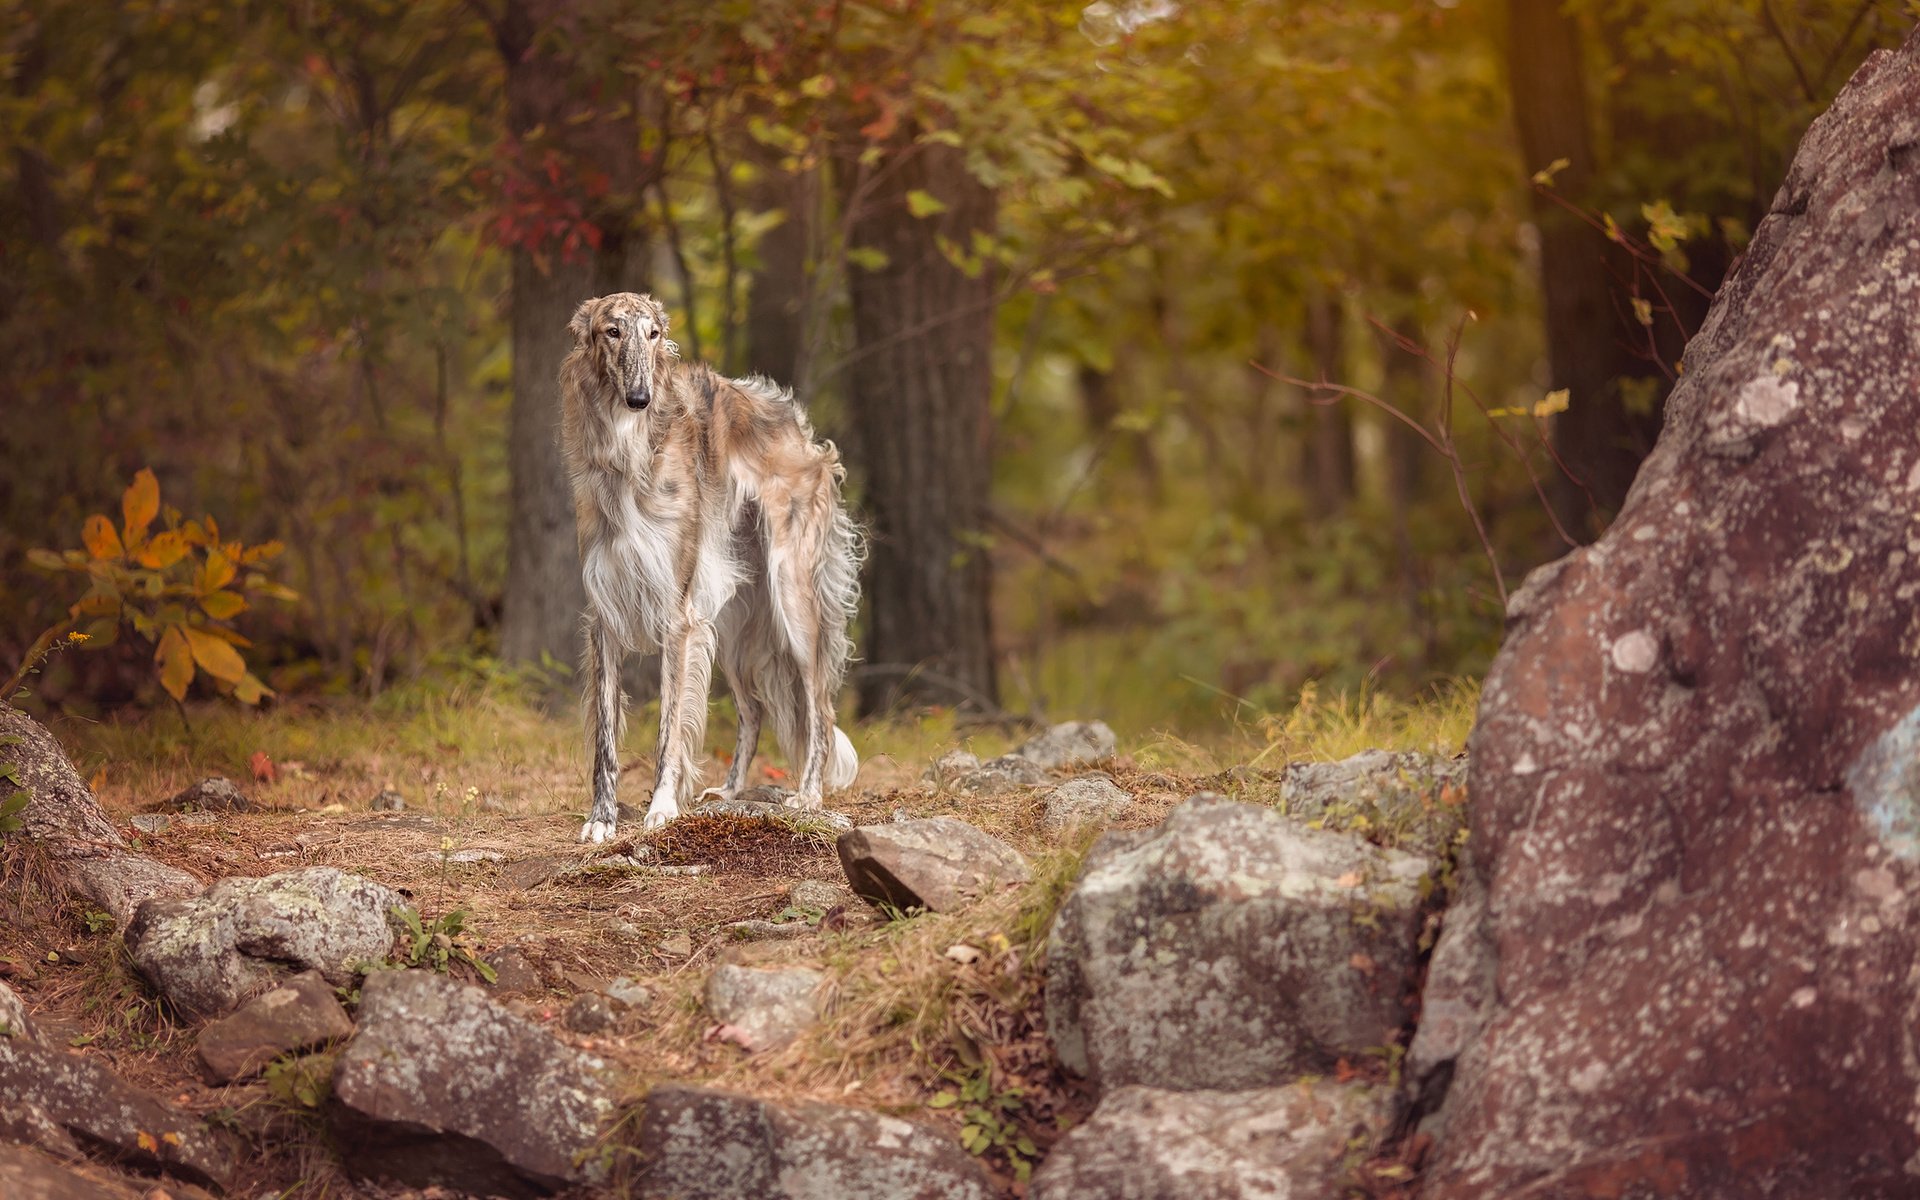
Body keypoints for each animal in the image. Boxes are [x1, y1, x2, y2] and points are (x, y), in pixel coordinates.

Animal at [560, 289, 864, 837]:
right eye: (612, 331)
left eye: (653, 334)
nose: (640, 398)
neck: (630, 453)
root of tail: (799, 428)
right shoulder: (605, 615)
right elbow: (606, 739)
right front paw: (601, 820)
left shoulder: (677, 618)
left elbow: (668, 729)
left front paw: (661, 808)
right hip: (731, 621)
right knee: (754, 710)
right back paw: (730, 790)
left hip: (792, 601)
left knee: (821, 709)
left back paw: (808, 796)